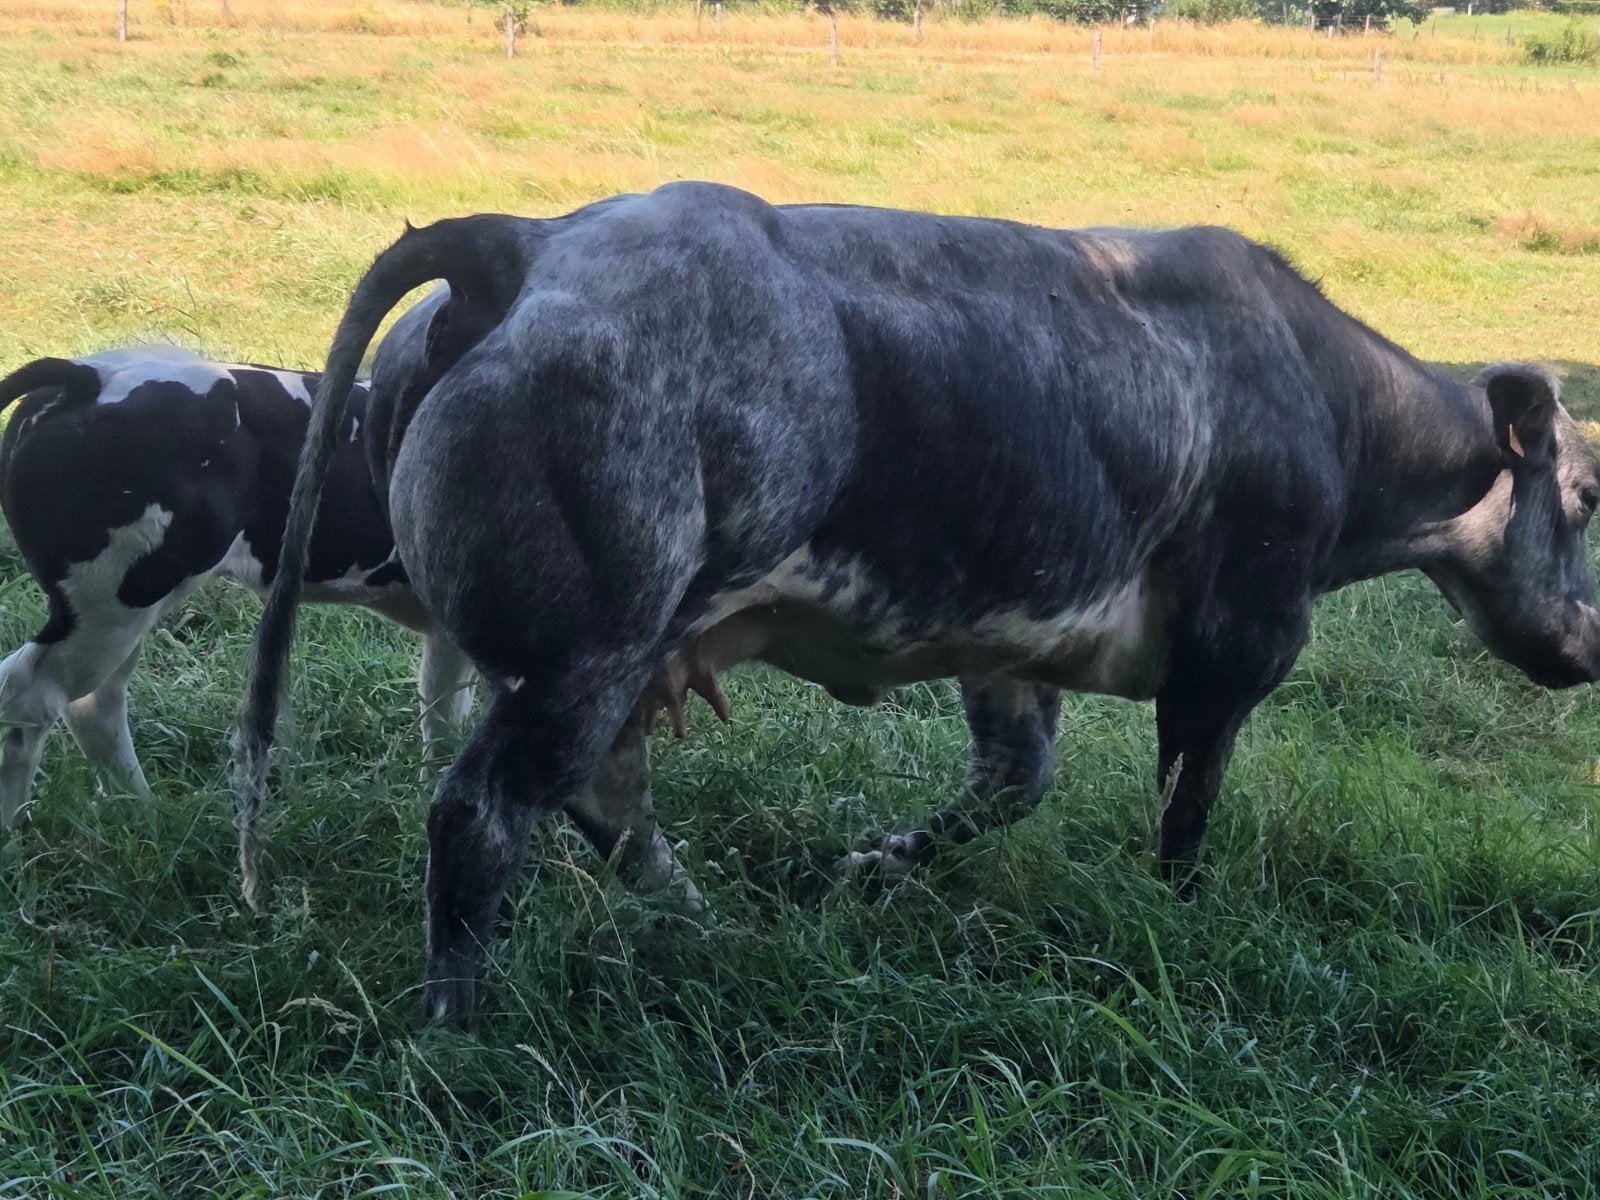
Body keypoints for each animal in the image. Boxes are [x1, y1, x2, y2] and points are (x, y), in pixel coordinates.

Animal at [0, 338, 479, 830]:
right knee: (32, 695)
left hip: (122, 609)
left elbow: (446, 715)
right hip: (113, 603)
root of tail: (87, 374)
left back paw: (146, 814)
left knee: (95, 704)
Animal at [238, 182, 1600, 1024]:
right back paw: (457, 1033)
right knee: (483, 815)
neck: (1323, 396)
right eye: (1586, 494)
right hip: (591, 647)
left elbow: (1010, 785)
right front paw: (1176, 924)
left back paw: (708, 928)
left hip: (604, 659)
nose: (1588, 643)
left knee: (604, 799)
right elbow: (1183, 816)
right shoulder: (1235, 645)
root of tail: (529, 238)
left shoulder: (1013, 647)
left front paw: (868, 869)